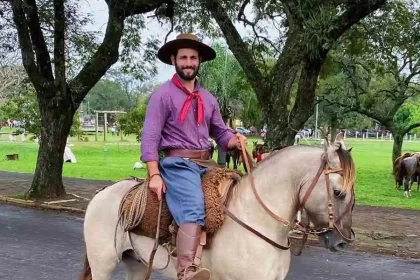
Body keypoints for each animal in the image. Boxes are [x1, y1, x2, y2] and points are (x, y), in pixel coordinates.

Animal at [78, 133, 354, 280]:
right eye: (338, 192)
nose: (342, 241)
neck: (257, 221)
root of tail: (101, 195)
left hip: (135, 263)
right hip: (103, 265)